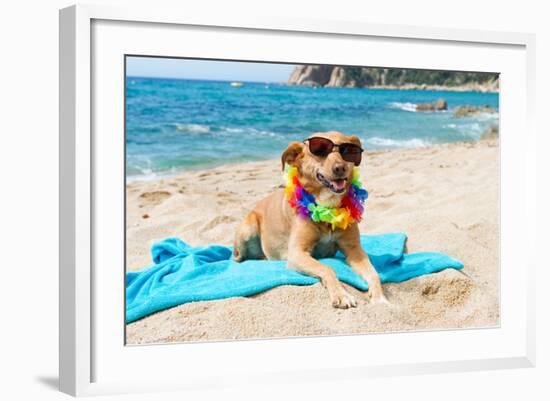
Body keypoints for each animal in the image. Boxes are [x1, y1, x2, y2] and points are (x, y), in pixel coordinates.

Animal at [235, 130, 386, 306]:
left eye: (348, 151)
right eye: (319, 150)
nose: (340, 168)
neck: (328, 207)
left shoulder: (355, 250)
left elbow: (374, 273)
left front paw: (380, 298)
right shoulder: (297, 253)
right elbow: (327, 268)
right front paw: (341, 294)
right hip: (248, 228)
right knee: (238, 257)